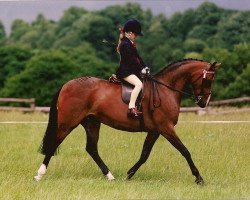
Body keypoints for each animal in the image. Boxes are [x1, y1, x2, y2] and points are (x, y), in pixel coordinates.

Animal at [33, 58, 221, 185]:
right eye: (208, 79)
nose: (204, 102)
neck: (165, 90)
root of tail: (66, 84)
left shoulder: (155, 130)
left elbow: (144, 154)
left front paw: (129, 174)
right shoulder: (166, 128)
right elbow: (185, 151)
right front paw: (199, 178)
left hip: (91, 122)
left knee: (91, 149)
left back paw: (110, 176)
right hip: (68, 122)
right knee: (54, 144)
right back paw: (39, 175)